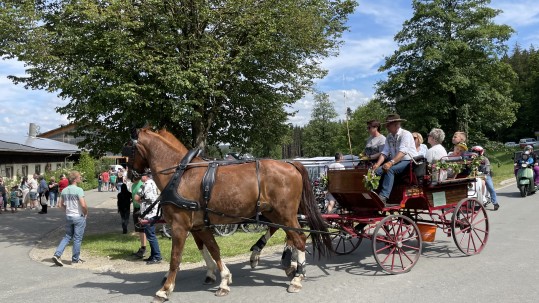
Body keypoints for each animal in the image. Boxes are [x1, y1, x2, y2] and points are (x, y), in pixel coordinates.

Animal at [130, 129, 334, 303]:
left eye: (128, 148)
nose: (131, 174)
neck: (179, 176)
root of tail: (291, 163)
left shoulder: (180, 226)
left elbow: (175, 257)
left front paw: (165, 290)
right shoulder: (200, 225)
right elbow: (212, 249)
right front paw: (222, 279)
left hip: (284, 213)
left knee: (299, 238)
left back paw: (297, 276)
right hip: (274, 212)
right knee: (284, 232)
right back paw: (272, 259)